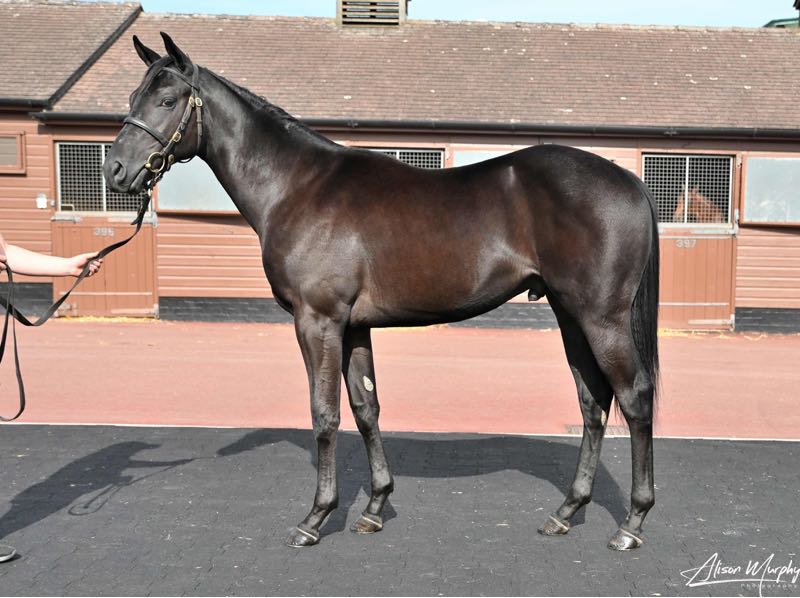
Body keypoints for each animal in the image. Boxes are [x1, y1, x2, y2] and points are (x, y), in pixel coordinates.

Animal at [104, 33, 660, 551]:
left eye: (167, 100)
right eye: (133, 95)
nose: (115, 171)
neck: (297, 186)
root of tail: (629, 181)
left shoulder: (318, 321)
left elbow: (325, 413)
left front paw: (316, 518)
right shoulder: (353, 327)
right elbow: (365, 408)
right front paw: (373, 507)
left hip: (601, 318)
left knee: (634, 397)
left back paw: (632, 523)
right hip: (570, 315)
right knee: (592, 403)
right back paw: (566, 512)